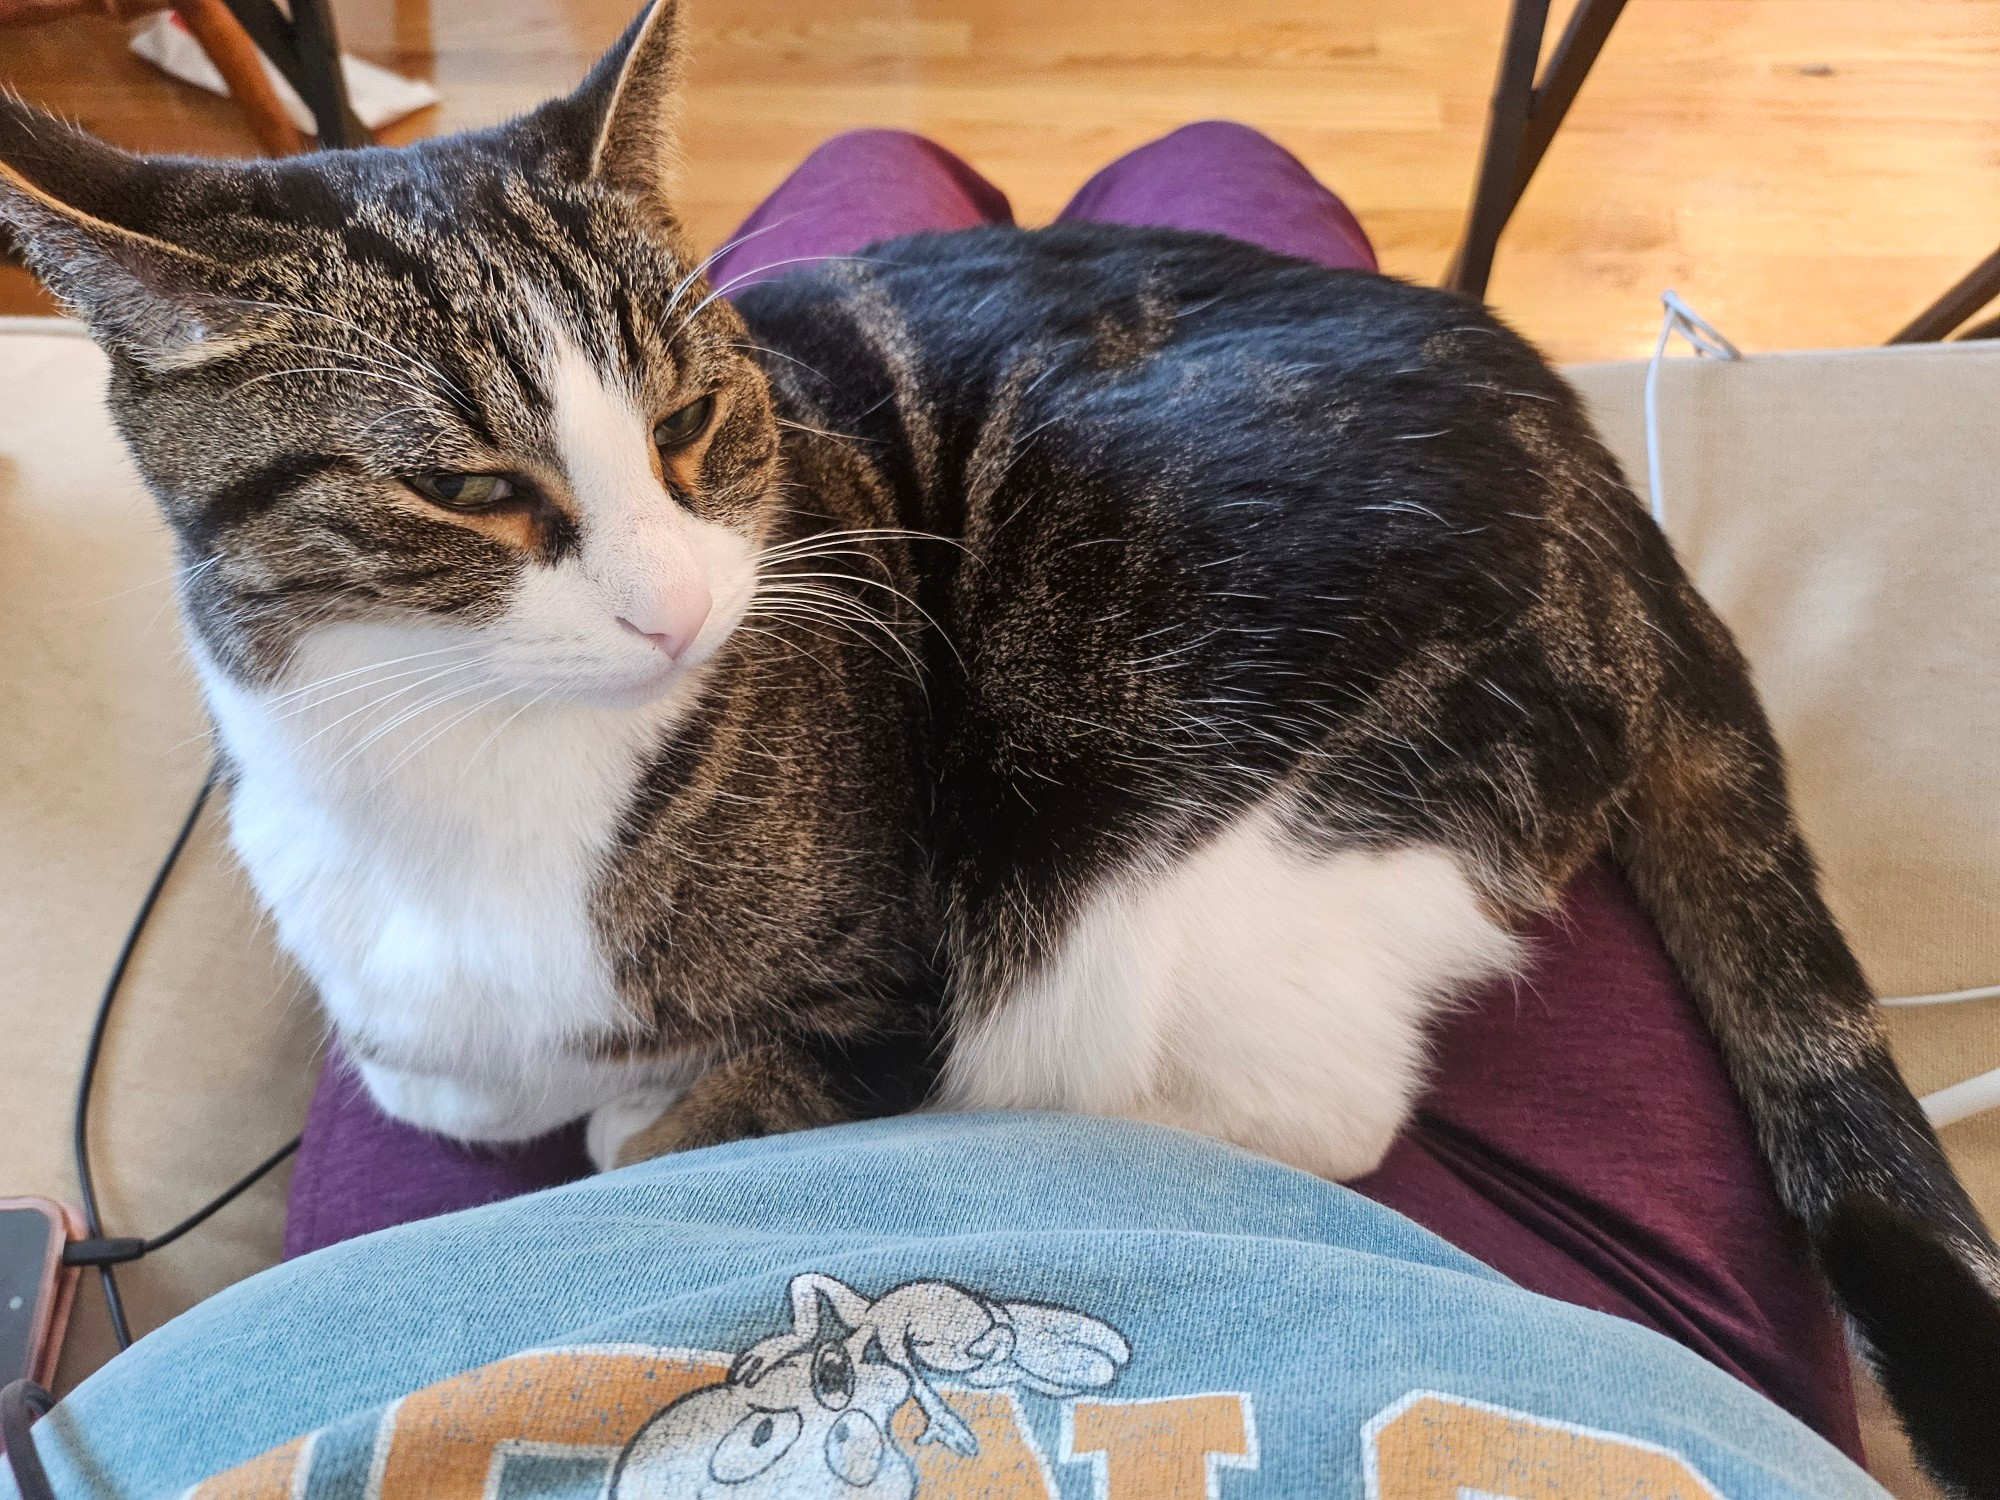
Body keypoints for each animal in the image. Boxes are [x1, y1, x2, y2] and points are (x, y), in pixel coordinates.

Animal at [0, 5, 1992, 1496]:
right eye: (470, 490)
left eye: (691, 422)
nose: (675, 608)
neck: (461, 764)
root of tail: (1600, 485)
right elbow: (438, 1074)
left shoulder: (885, 968)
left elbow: (664, 1130)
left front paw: (656, 1111)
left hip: (1179, 813)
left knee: (1269, 1083)